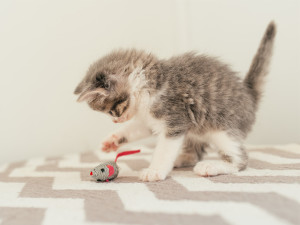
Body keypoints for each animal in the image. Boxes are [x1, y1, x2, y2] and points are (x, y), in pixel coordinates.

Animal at [74, 22, 276, 182]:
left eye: (111, 111)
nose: (115, 121)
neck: (151, 84)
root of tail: (249, 94)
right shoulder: (149, 120)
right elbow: (136, 128)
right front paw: (113, 140)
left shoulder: (175, 118)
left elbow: (165, 149)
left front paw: (155, 170)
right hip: (196, 129)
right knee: (195, 152)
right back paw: (182, 159)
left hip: (222, 127)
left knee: (240, 159)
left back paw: (211, 166)